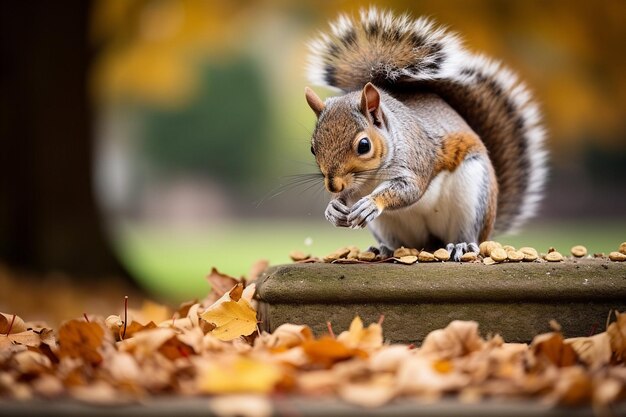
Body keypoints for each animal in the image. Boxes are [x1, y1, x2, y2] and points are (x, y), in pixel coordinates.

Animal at [304, 8, 544, 258]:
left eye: (364, 146)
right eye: (312, 148)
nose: (333, 185)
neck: (371, 177)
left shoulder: (417, 159)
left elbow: (409, 190)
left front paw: (371, 203)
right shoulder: (354, 187)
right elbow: (347, 197)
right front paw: (333, 207)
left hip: (473, 196)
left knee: (468, 235)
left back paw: (461, 245)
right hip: (388, 227)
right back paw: (384, 249)